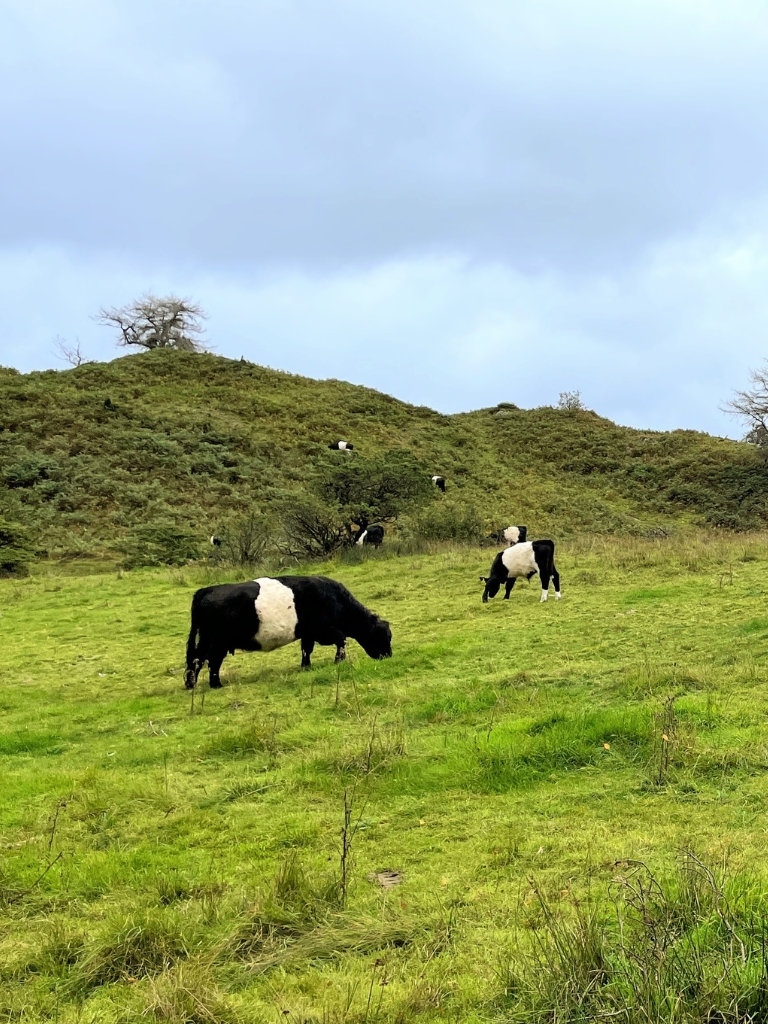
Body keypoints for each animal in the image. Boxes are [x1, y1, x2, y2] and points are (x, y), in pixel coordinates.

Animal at [184, 577, 393, 688]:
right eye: (383, 637)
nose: (388, 656)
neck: (336, 599)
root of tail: (207, 589)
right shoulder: (325, 630)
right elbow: (341, 641)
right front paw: (338, 661)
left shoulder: (309, 633)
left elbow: (306, 650)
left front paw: (306, 666)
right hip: (218, 641)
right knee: (213, 661)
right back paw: (215, 684)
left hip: (205, 639)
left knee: (196, 659)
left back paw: (190, 684)